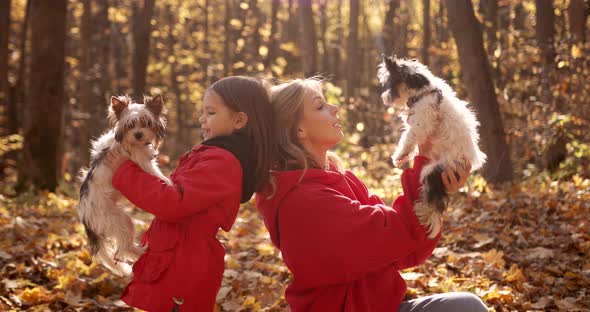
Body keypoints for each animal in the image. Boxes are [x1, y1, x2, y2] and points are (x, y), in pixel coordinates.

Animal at [78, 94, 171, 274]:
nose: (138, 134)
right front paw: (172, 184)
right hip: (120, 221)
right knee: (123, 249)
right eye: (130, 125)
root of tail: (86, 219)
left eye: (146, 122)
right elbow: (160, 177)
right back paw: (141, 251)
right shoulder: (145, 164)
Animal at [380, 54, 490, 238]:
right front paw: (402, 159)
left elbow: (407, 138)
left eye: (390, 83)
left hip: (435, 170)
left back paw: (424, 213)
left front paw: (399, 156)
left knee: (433, 198)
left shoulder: (422, 123)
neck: (423, 92)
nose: (384, 96)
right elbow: (409, 143)